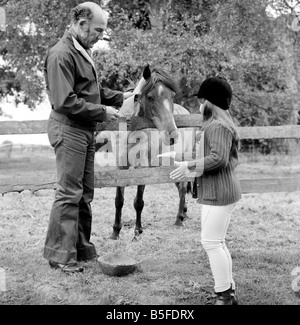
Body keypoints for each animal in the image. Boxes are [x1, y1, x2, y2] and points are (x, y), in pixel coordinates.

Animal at [96, 64, 197, 239]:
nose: (172, 136)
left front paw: (137, 231)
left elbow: (138, 201)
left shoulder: (142, 168)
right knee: (180, 187)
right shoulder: (120, 166)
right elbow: (119, 200)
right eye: (150, 97)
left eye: (172, 96)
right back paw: (183, 213)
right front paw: (115, 231)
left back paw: (179, 219)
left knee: (183, 187)